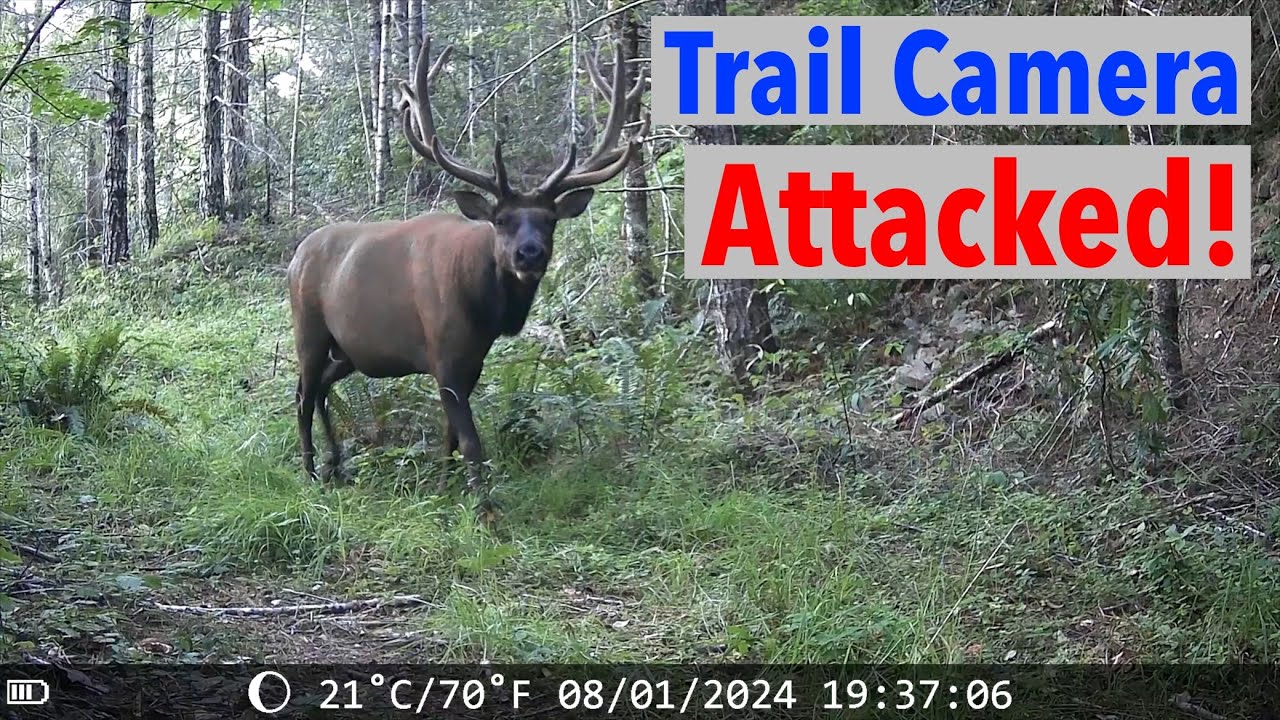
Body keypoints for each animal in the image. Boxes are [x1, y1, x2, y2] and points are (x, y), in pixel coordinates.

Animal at [286, 34, 649, 496]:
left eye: (549, 220)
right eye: (501, 220)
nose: (529, 254)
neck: (484, 308)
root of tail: (296, 256)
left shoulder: (473, 358)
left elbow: (450, 436)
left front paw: (444, 486)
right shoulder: (443, 352)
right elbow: (471, 440)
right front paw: (482, 503)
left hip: (348, 348)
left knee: (320, 390)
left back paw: (337, 464)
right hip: (309, 328)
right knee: (303, 392)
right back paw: (311, 470)